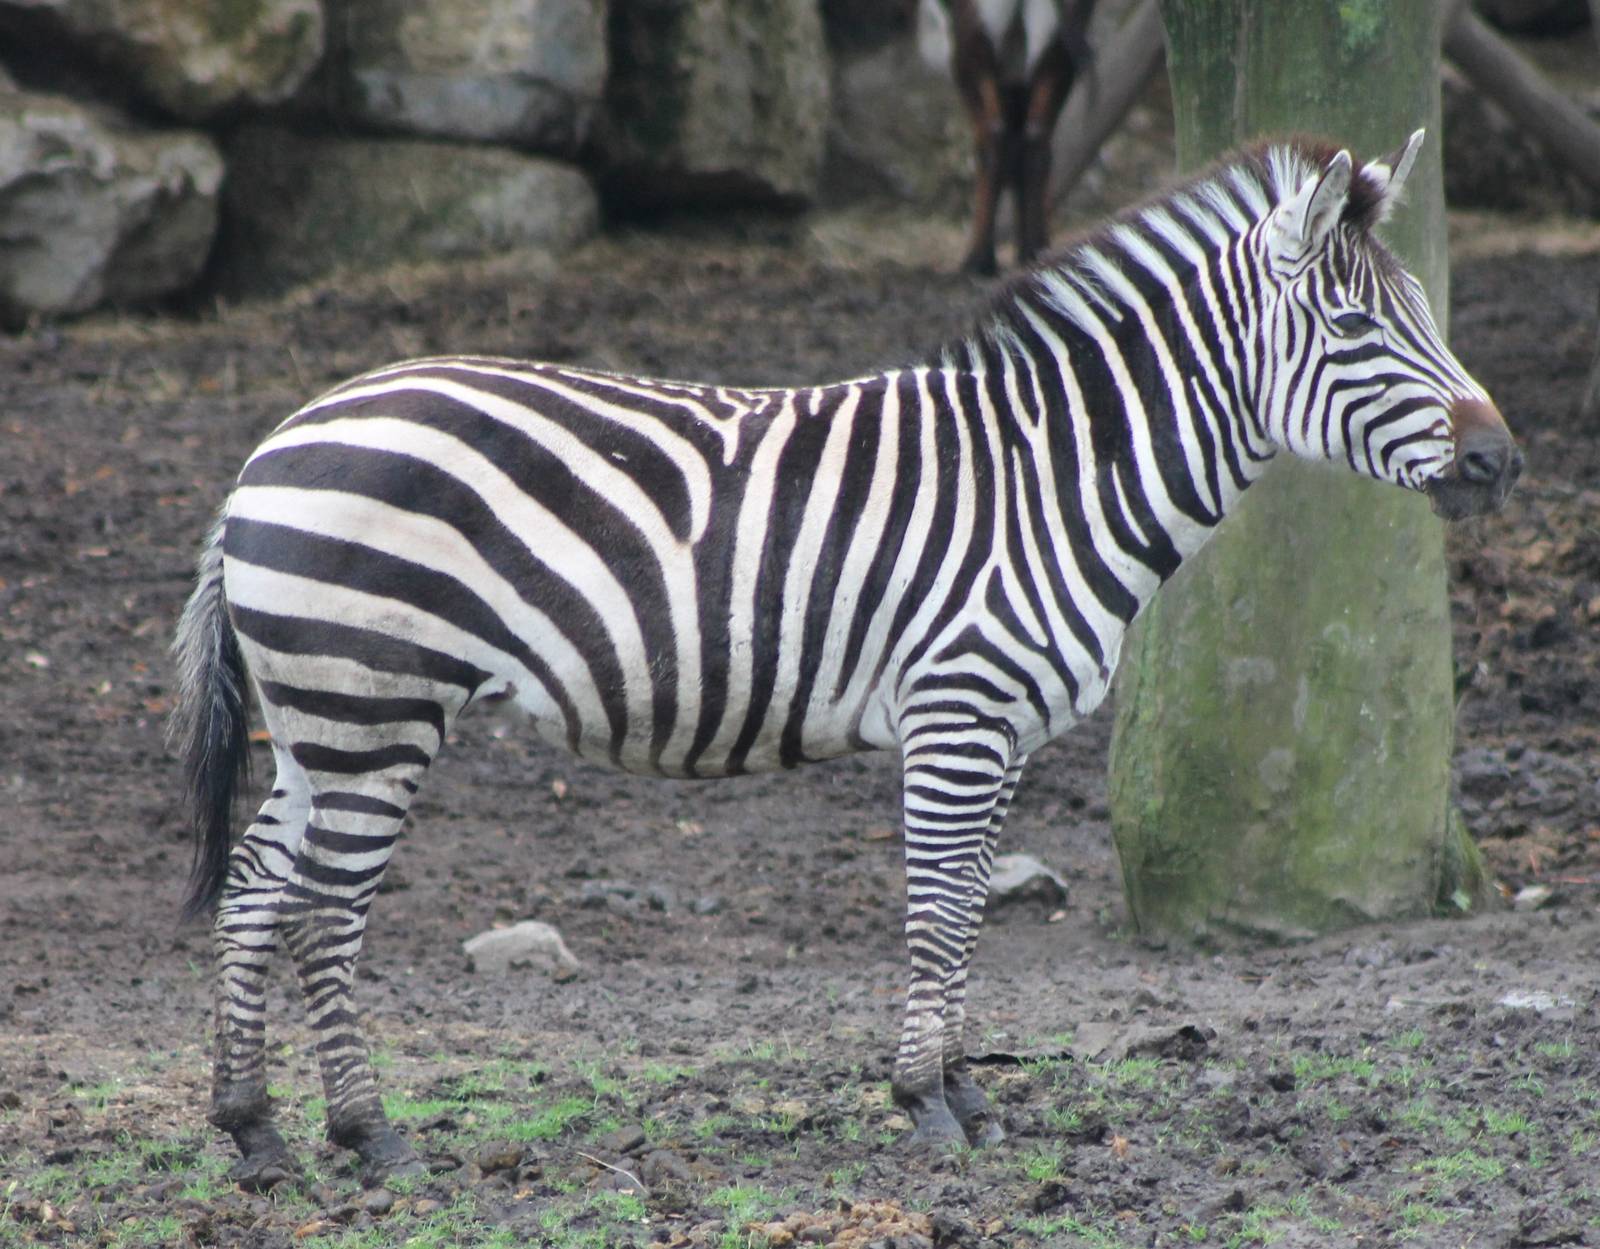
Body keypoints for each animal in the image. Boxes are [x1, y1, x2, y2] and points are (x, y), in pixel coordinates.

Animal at [172, 130, 1519, 1187]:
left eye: (1424, 314)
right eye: (1352, 325)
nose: (1500, 461)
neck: (1054, 481)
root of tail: (267, 450)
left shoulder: (1004, 731)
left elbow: (968, 909)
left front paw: (969, 1094)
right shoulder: (958, 711)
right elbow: (934, 910)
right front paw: (925, 1101)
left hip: (319, 718)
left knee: (254, 886)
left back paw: (254, 1132)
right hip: (376, 708)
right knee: (323, 912)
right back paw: (370, 1137)